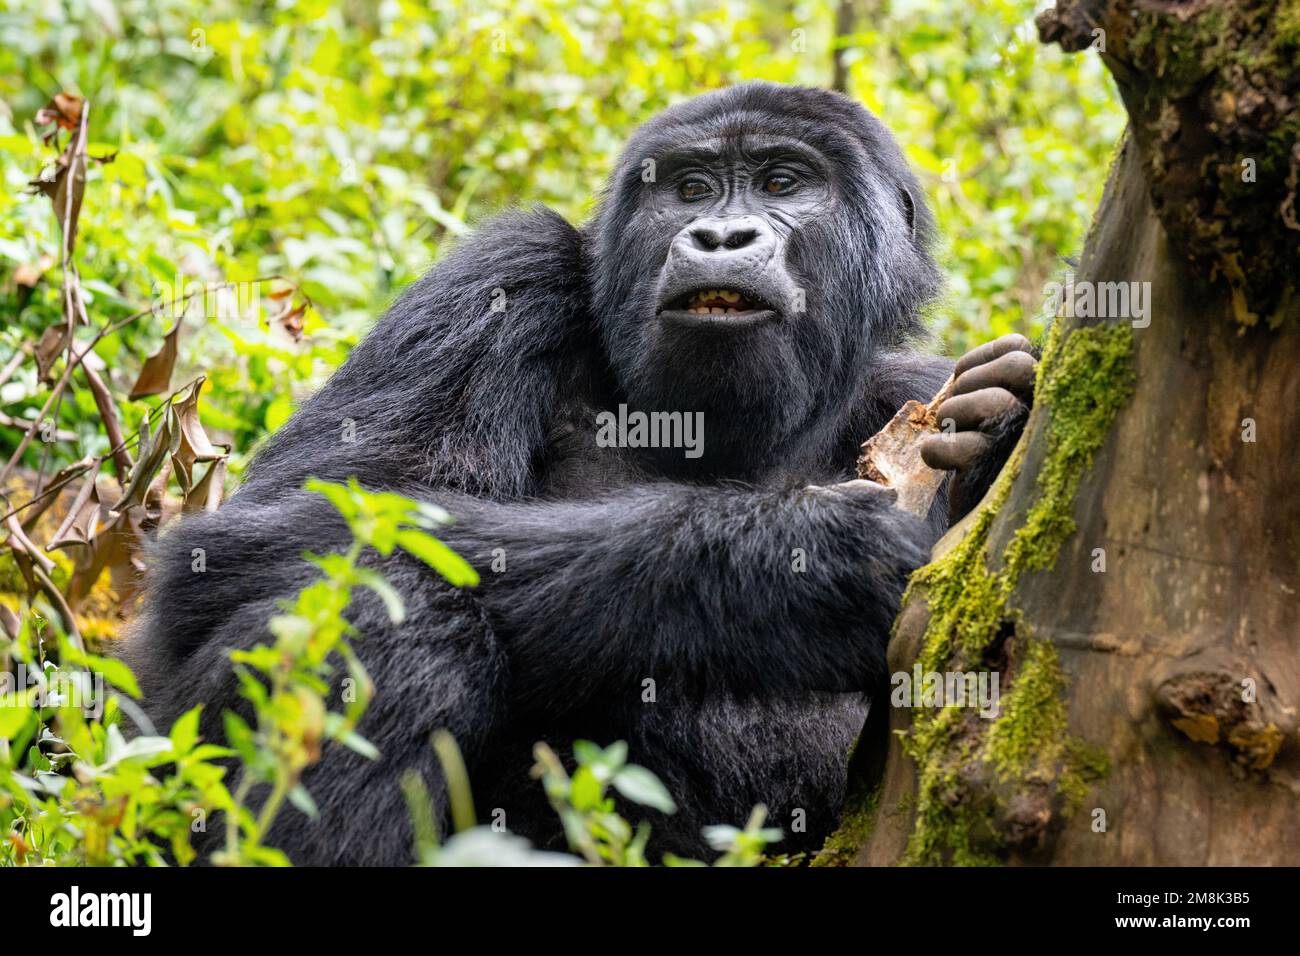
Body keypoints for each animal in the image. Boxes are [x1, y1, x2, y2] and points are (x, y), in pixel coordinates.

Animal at [122, 83, 1034, 868]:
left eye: (784, 182)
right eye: (692, 189)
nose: (721, 238)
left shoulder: (914, 385)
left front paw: (997, 434)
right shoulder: (504, 277)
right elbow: (287, 529)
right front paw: (791, 564)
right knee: (387, 602)